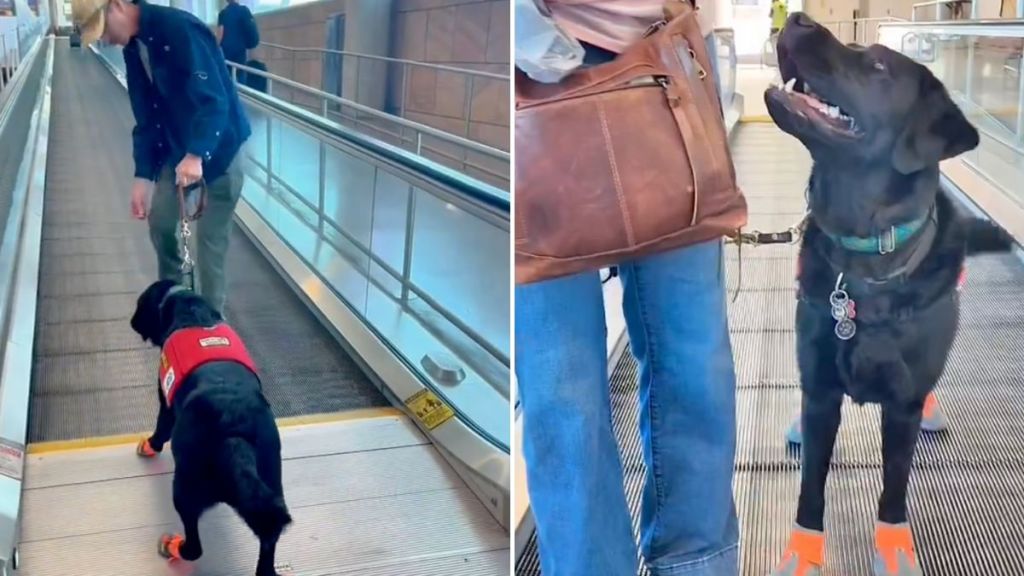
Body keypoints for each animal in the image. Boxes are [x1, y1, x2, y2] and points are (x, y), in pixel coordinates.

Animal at [130, 276, 292, 569]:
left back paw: (173, 547)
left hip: (185, 486)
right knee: (268, 545)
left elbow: (161, 429)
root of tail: (234, 433)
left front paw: (150, 445)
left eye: (139, 305)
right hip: (272, 483)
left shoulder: (165, 400)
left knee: (195, 546)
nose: (131, 322)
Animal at [765, 12, 1011, 573]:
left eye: (877, 65)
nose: (797, 18)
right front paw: (803, 550)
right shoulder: (821, 389)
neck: (865, 256)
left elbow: (894, 486)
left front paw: (894, 545)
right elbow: (811, 485)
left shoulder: (901, 403)